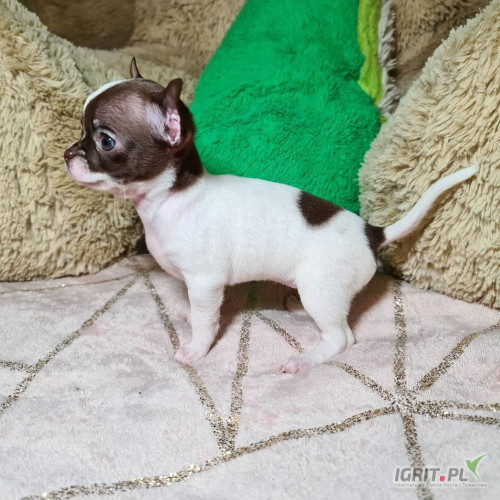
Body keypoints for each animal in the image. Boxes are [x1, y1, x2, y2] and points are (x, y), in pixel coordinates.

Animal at [64, 58, 477, 374]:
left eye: (105, 141)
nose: (67, 154)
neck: (172, 198)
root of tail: (372, 232)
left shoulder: (206, 282)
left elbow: (206, 319)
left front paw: (197, 347)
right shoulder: (195, 283)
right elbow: (196, 311)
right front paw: (188, 319)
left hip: (320, 290)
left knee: (342, 337)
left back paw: (306, 360)